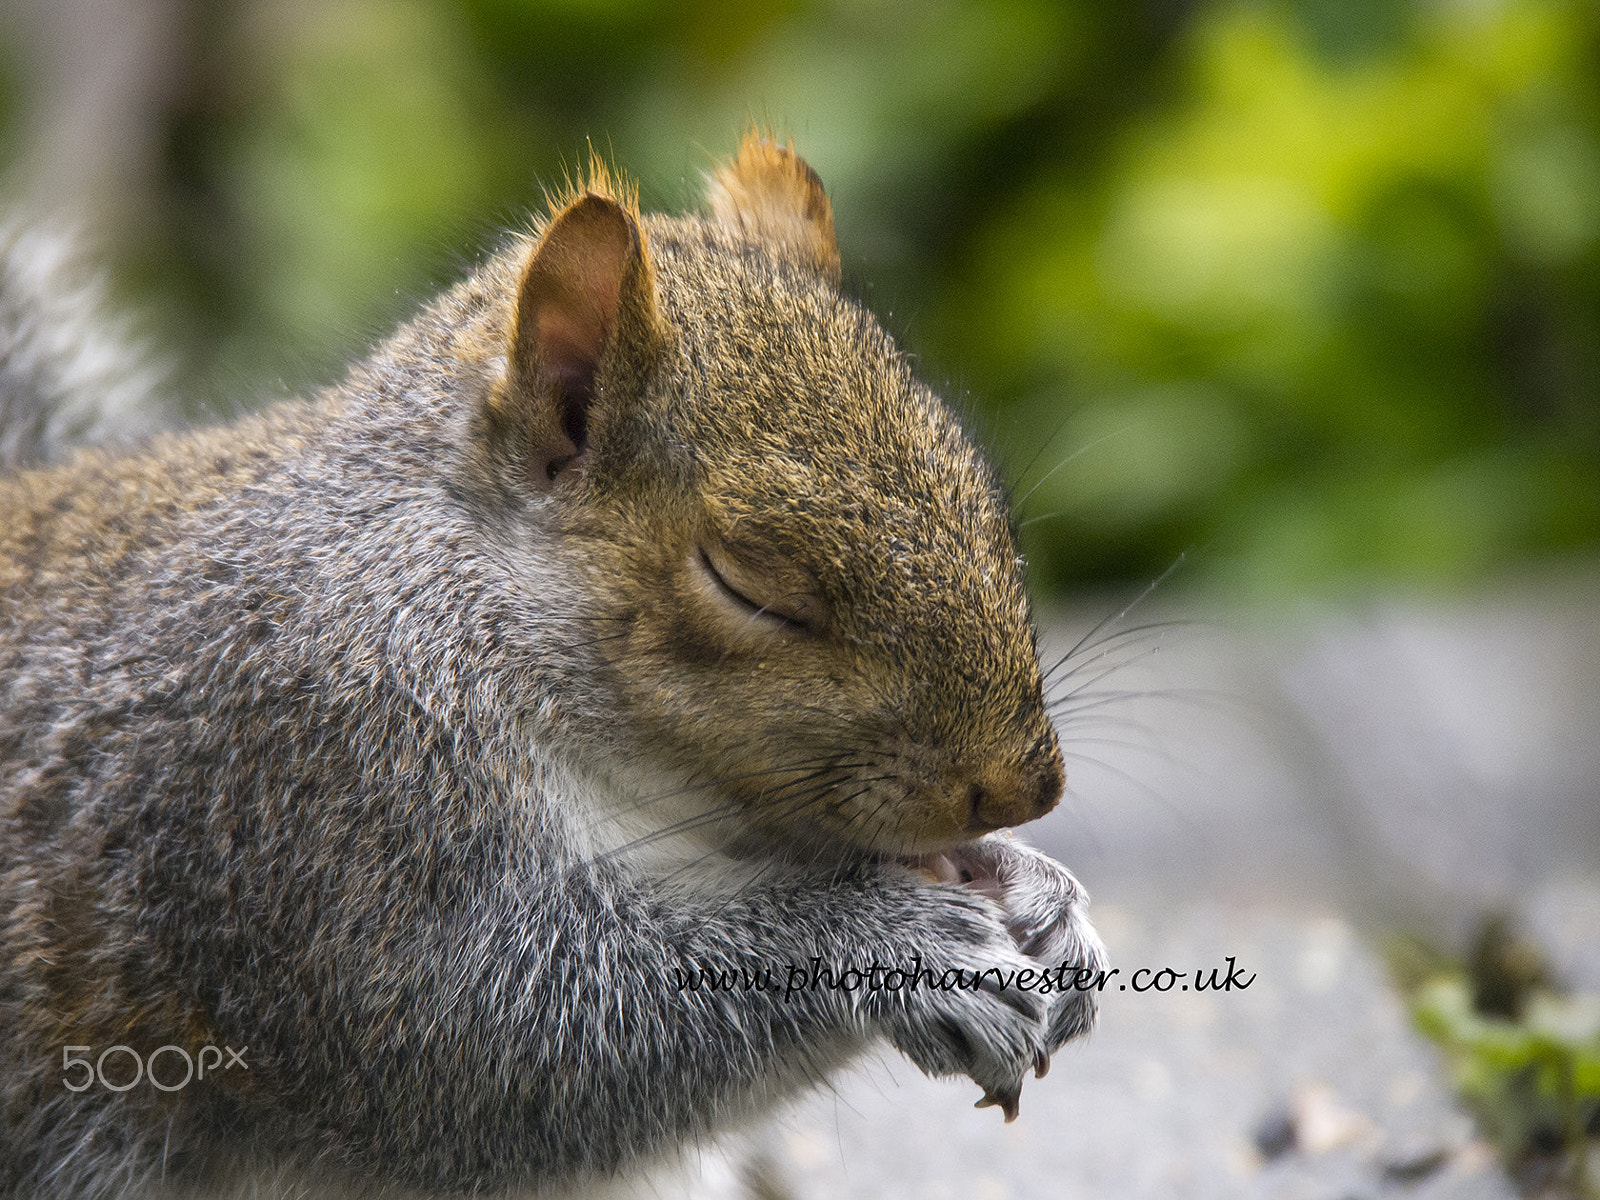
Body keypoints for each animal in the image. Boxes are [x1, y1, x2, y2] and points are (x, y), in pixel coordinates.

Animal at [0, 132, 1106, 1199]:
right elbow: (511, 1036)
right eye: (751, 586)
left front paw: (1035, 893)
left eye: (985, 497)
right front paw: (903, 943)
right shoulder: (312, 791)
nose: (1028, 788)